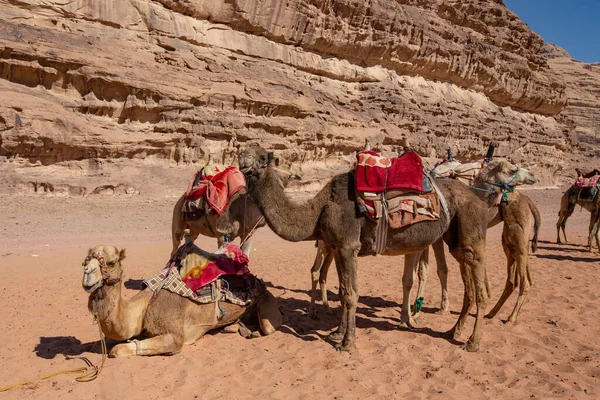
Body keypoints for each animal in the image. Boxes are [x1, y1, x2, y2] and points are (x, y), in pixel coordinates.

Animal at [80, 245, 284, 358]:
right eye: (85, 262)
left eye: (112, 262)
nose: (88, 276)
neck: (146, 304)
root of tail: (258, 280)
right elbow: (99, 344)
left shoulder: (175, 336)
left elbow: (118, 349)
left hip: (267, 302)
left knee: (268, 327)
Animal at [244, 152, 536, 352]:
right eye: (244, 152)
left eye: (261, 157)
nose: (244, 162)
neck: (319, 208)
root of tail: (477, 199)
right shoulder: (338, 247)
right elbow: (344, 290)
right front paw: (338, 333)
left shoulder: (348, 246)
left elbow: (351, 293)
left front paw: (347, 343)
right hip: (456, 241)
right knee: (470, 287)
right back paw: (452, 331)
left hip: (470, 234)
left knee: (481, 288)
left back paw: (472, 342)